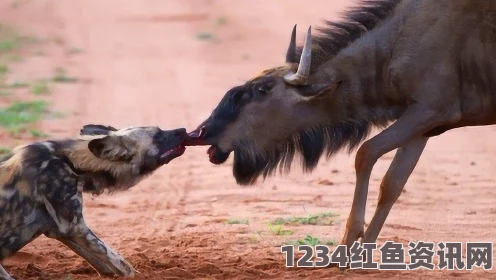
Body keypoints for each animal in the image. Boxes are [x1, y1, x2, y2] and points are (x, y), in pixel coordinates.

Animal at [0, 124, 186, 278]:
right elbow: (122, 264)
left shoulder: (60, 230)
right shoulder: (75, 227)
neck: (71, 162)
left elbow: (105, 264)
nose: (183, 130)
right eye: (158, 136)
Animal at [186, 0, 496, 255]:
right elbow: (392, 183)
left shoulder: (428, 111)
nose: (203, 131)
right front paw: (365, 251)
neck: (397, 42)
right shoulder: (424, 124)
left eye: (262, 89)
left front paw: (350, 241)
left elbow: (365, 153)